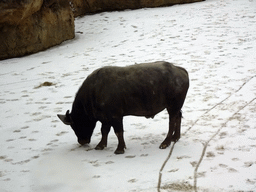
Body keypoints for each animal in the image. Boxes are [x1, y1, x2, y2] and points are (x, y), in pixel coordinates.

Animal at [58, 61, 190, 154]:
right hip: (175, 107)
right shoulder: (105, 119)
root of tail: (180, 70)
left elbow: (118, 132)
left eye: (75, 124)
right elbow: (104, 131)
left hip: (173, 106)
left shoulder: (115, 117)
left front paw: (119, 149)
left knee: (172, 122)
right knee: (178, 117)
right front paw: (101, 145)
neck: (94, 91)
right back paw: (175, 138)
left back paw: (165, 142)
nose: (82, 141)